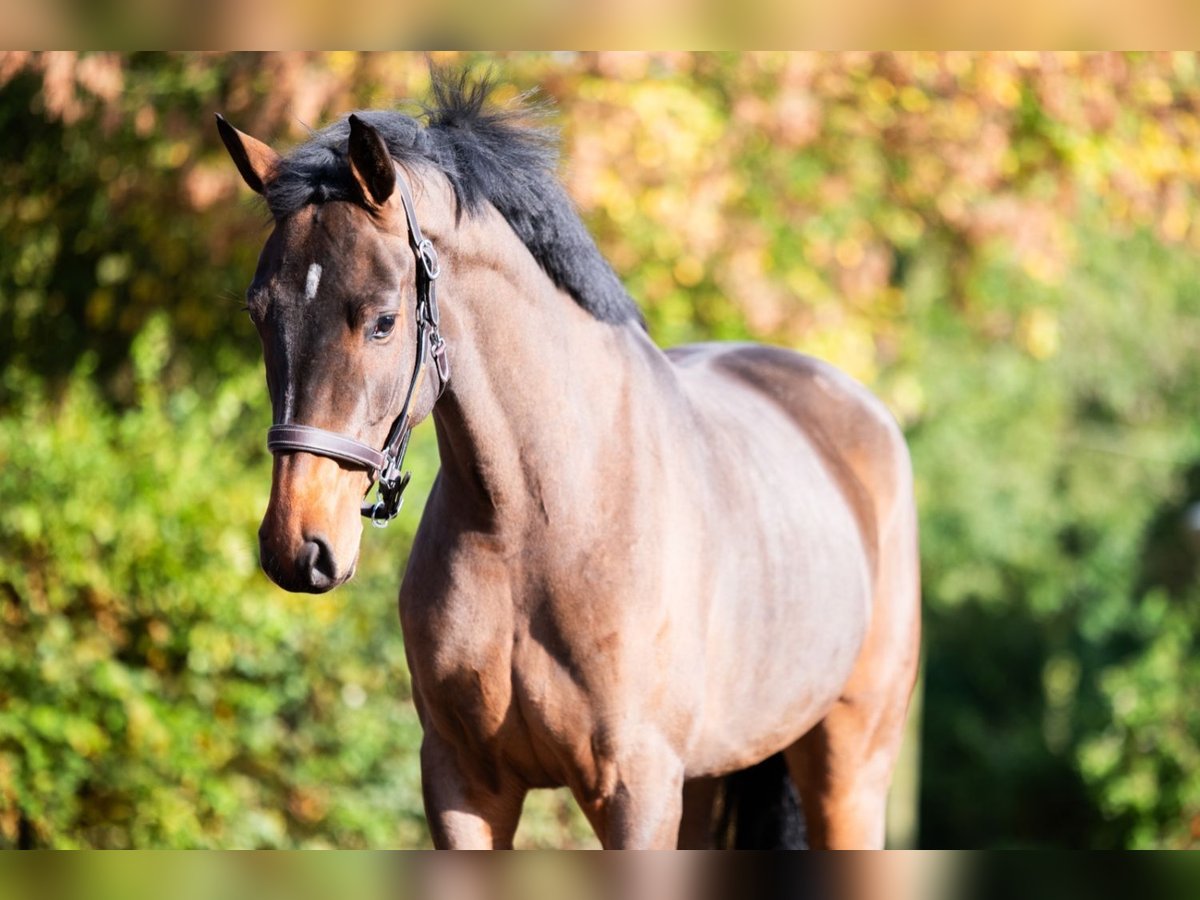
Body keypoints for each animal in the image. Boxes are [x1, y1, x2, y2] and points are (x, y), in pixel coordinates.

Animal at [216, 72, 916, 854]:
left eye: (383, 321)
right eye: (259, 313)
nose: (296, 546)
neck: (538, 521)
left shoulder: (637, 791)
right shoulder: (463, 783)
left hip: (849, 770)